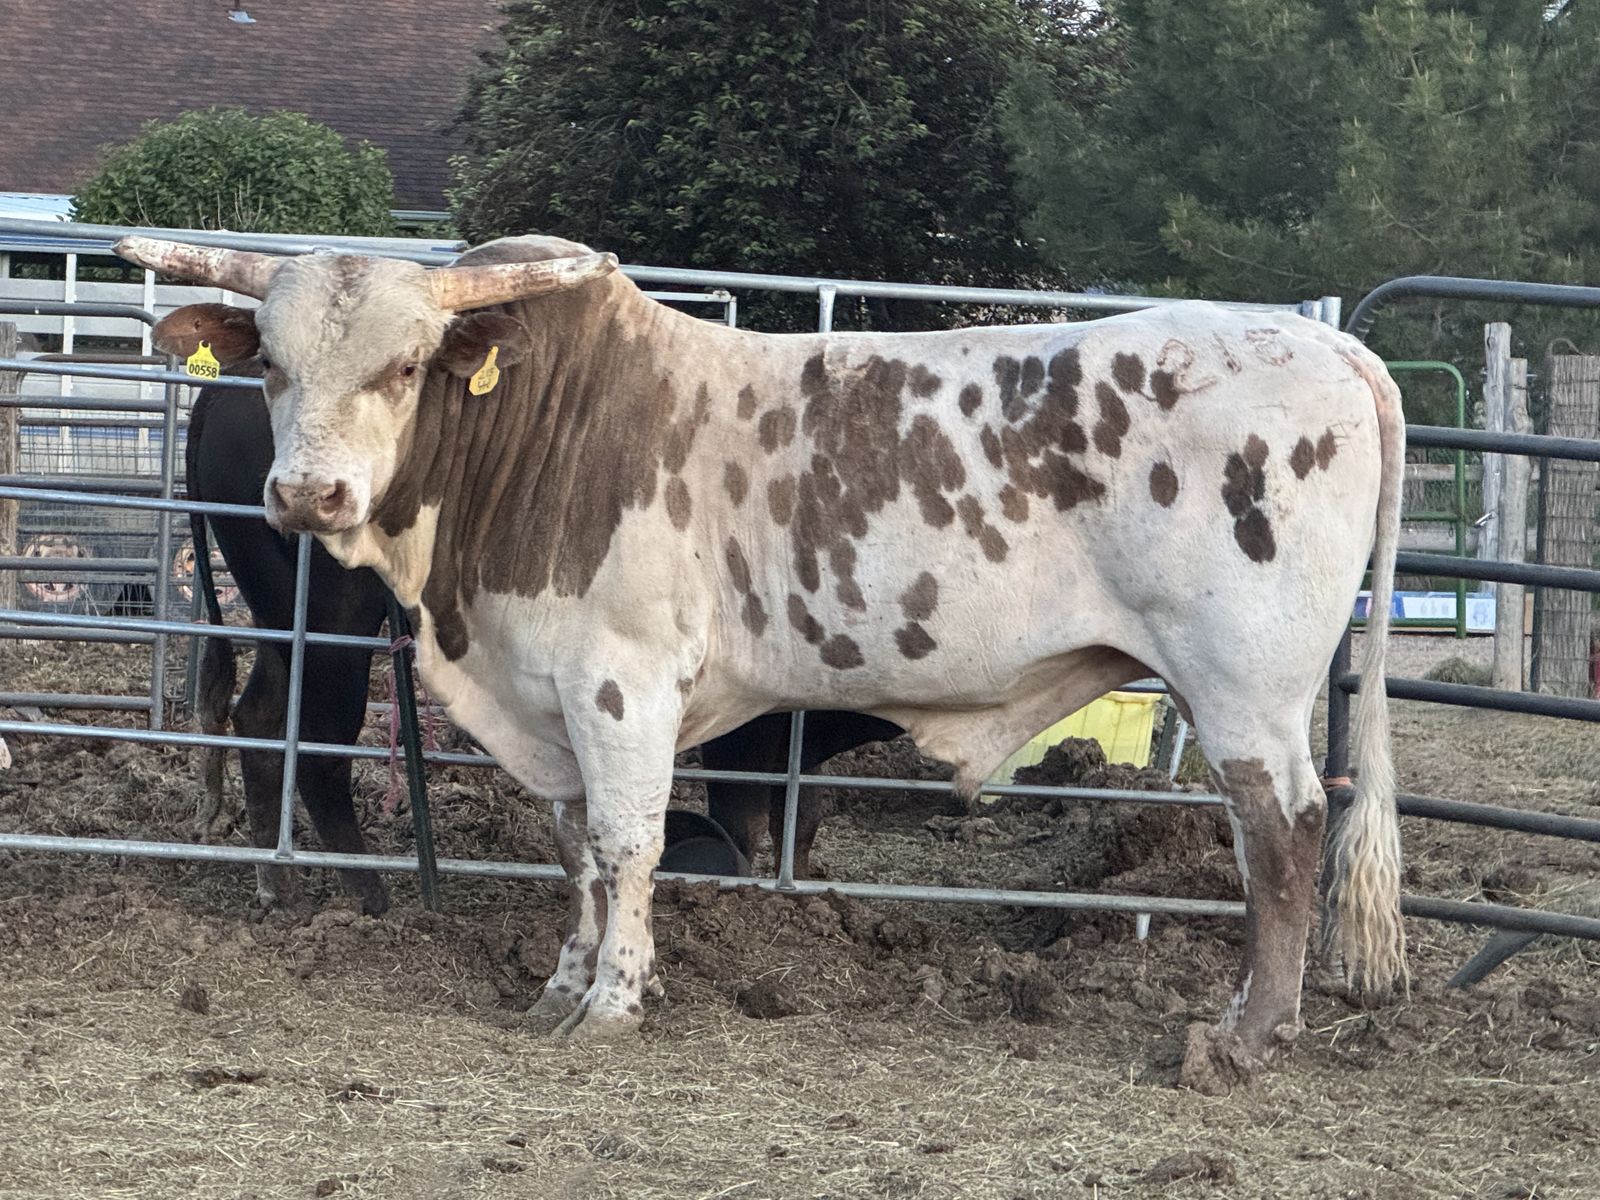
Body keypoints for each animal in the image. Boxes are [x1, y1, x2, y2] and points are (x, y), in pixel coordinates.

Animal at [186, 382, 899, 911]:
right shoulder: (747, 729)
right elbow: (746, 825)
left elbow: (800, 818)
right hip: (333, 619)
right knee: (319, 746)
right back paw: (371, 897)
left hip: (281, 616)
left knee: (262, 720)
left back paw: (279, 884)